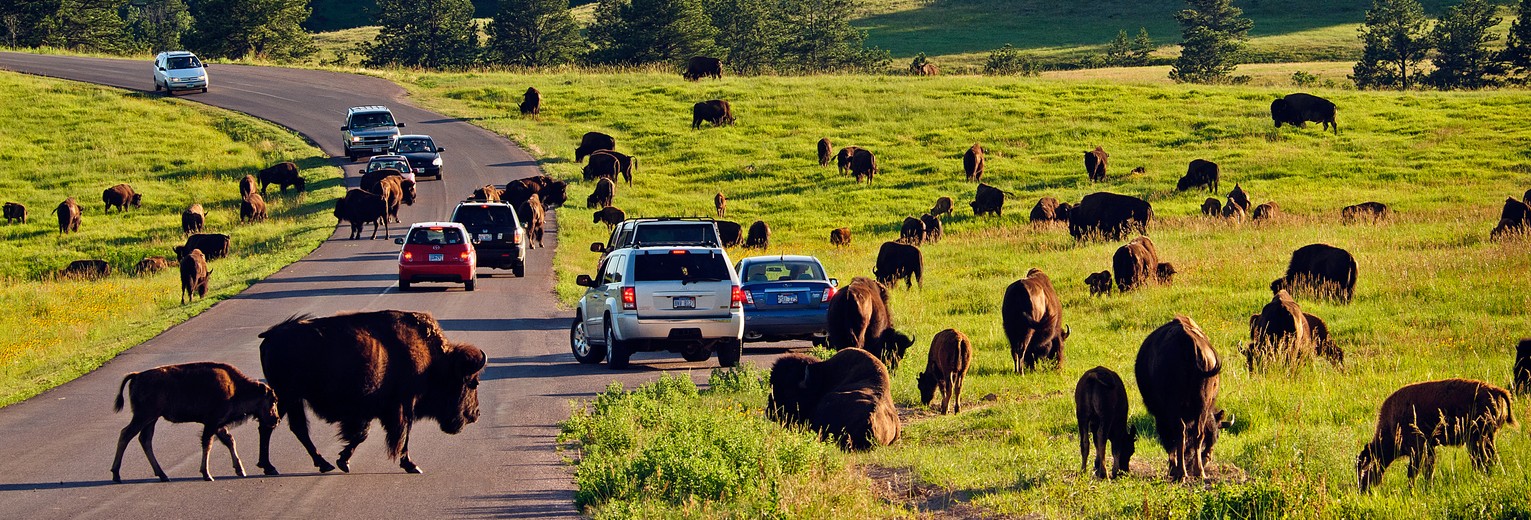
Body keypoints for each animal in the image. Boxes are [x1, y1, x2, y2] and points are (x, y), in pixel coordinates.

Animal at [111, 362, 278, 483]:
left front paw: (240, 470)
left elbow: (229, 441)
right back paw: (116, 475)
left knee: (145, 440)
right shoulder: (212, 423)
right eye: (273, 401)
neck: (235, 387)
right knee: (126, 434)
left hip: (151, 419)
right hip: (144, 416)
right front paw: (207, 475)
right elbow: (208, 445)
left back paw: (163, 475)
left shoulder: (218, 425)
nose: (275, 419)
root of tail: (137, 376)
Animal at [255, 311, 487, 475]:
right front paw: (411, 465)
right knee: (281, 427)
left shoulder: (373, 411)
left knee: (287, 427)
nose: (475, 414)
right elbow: (399, 435)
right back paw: (283, 466)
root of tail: (271, 336)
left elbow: (362, 435)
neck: (433, 360)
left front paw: (343, 461)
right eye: (473, 383)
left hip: (289, 398)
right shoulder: (402, 406)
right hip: (287, 396)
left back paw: (303, 465)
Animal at [1135, 315, 1232, 481]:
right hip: (1202, 405)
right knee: (1198, 434)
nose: (1207, 458)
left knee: (1180, 432)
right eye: (1216, 436)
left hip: (1174, 406)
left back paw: (1181, 472)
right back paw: (1199, 472)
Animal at [1357, 379, 1515, 492]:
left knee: (1482, 460)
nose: (1362, 490)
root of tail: (1497, 391)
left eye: (1364, 470)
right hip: (1488, 437)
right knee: (1490, 458)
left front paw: (1411, 491)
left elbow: (1412, 473)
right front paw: (1429, 487)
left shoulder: (1417, 449)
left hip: (1475, 439)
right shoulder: (1429, 448)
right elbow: (1429, 470)